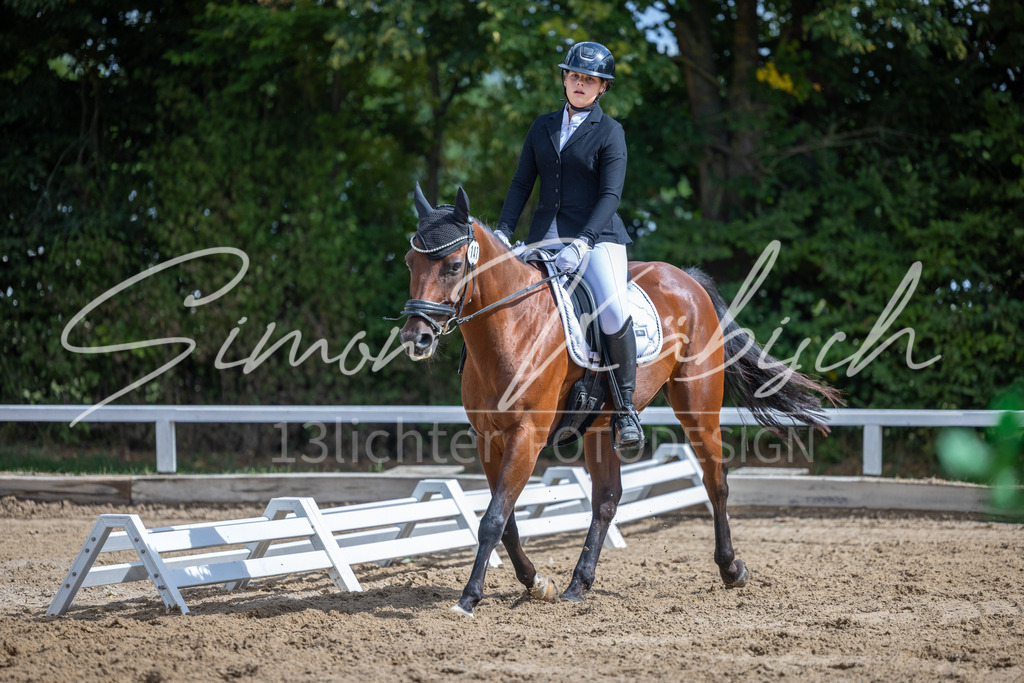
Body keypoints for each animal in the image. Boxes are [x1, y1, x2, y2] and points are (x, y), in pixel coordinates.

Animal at [397, 185, 840, 616]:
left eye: (454, 266)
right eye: (409, 262)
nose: (416, 337)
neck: (512, 325)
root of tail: (687, 277)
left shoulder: (527, 435)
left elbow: (492, 518)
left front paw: (468, 599)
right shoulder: (489, 438)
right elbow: (505, 520)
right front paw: (537, 583)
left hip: (697, 407)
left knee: (716, 480)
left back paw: (731, 568)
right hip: (598, 424)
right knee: (607, 499)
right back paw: (579, 583)